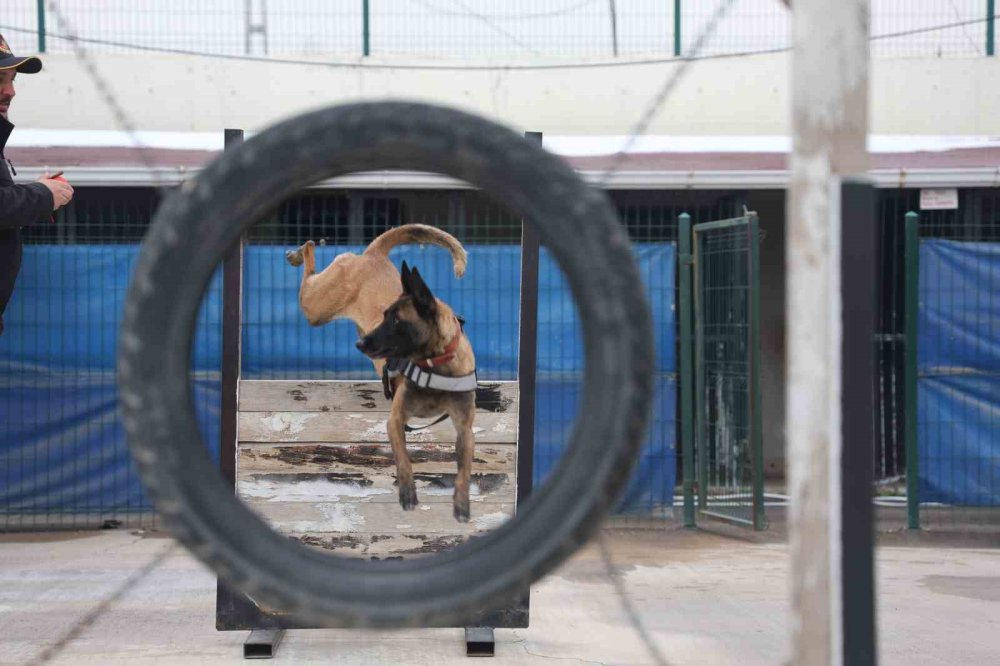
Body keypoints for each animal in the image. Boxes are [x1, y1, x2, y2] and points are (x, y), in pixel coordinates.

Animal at [358, 262, 478, 520]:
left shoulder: (465, 429)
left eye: (396, 320)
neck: (435, 363)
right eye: (385, 316)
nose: (359, 344)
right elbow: (403, 459)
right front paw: (407, 493)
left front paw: (462, 504)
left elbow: (464, 470)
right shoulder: (396, 419)